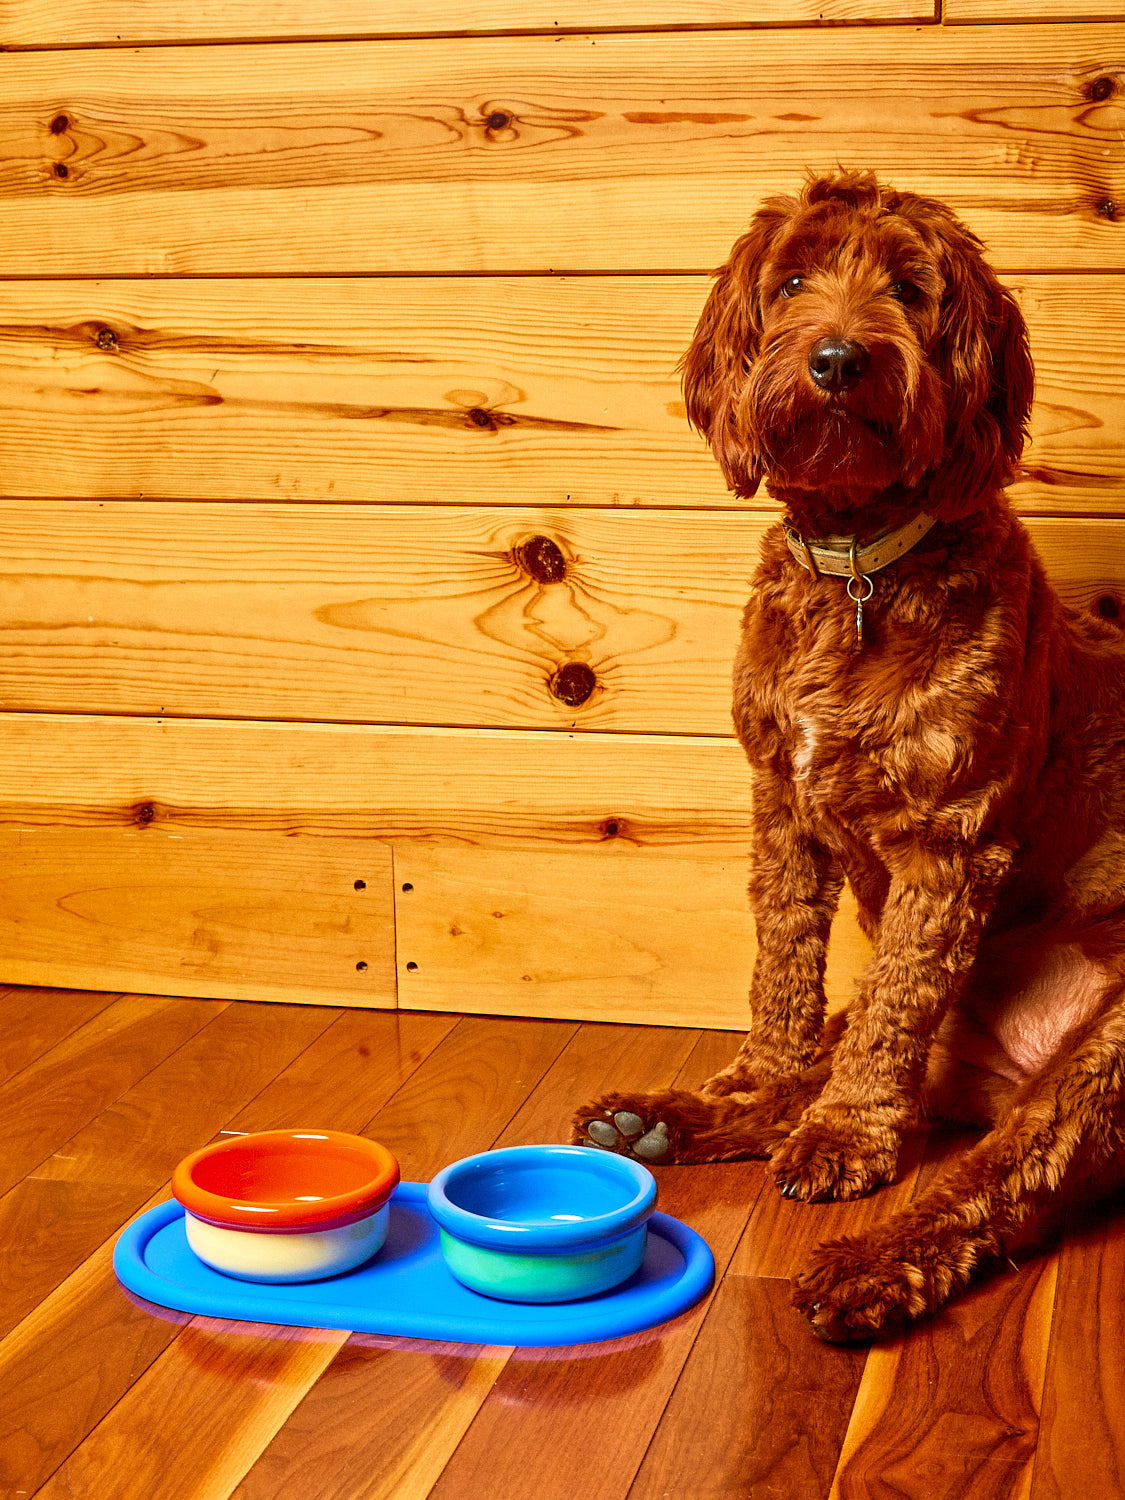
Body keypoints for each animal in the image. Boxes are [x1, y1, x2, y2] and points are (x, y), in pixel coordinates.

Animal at [573, 170, 1125, 1344]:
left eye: (911, 290)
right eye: (791, 283)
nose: (836, 359)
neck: (858, 567)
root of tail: (1000, 1077)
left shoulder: (948, 843)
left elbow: (889, 1022)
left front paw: (845, 1142)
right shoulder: (782, 812)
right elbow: (782, 972)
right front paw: (753, 1082)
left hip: (1107, 1056)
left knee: (1002, 1173)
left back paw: (869, 1263)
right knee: (845, 1041)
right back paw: (667, 1119)